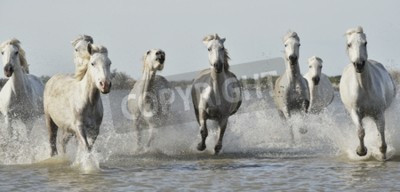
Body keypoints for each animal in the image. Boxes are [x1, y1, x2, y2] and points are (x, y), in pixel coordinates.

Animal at [340, 26, 396, 160]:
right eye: (349, 44)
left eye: (365, 43)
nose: (359, 64)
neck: (364, 88)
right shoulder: (355, 112)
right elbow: (361, 131)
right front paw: (361, 151)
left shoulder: (379, 112)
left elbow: (381, 132)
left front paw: (383, 154)